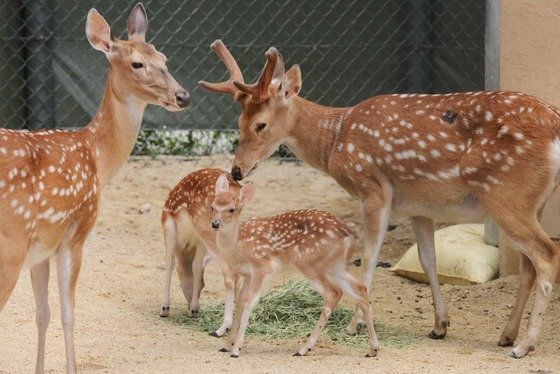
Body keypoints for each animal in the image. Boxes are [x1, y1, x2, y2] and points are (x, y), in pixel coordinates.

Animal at [0, 2, 190, 372]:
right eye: (137, 63)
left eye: (164, 57)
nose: (183, 96)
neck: (97, 155)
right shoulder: (76, 231)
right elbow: (68, 315)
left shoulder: (42, 248)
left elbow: (42, 315)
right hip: (10, 244)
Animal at [160, 168, 243, 338]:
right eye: (203, 285)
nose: (194, 305)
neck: (185, 247)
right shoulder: (199, 242)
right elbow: (197, 266)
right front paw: (193, 307)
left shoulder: (168, 224)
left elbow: (169, 264)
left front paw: (165, 308)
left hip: (208, 227)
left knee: (230, 273)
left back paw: (222, 328)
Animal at [211, 174, 380, 358]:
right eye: (212, 206)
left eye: (231, 209)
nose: (215, 224)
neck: (238, 244)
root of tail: (350, 236)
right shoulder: (247, 274)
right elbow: (241, 301)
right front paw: (226, 345)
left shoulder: (262, 267)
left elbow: (250, 301)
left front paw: (235, 349)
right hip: (336, 265)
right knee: (360, 290)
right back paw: (373, 349)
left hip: (309, 262)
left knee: (333, 292)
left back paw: (304, 349)